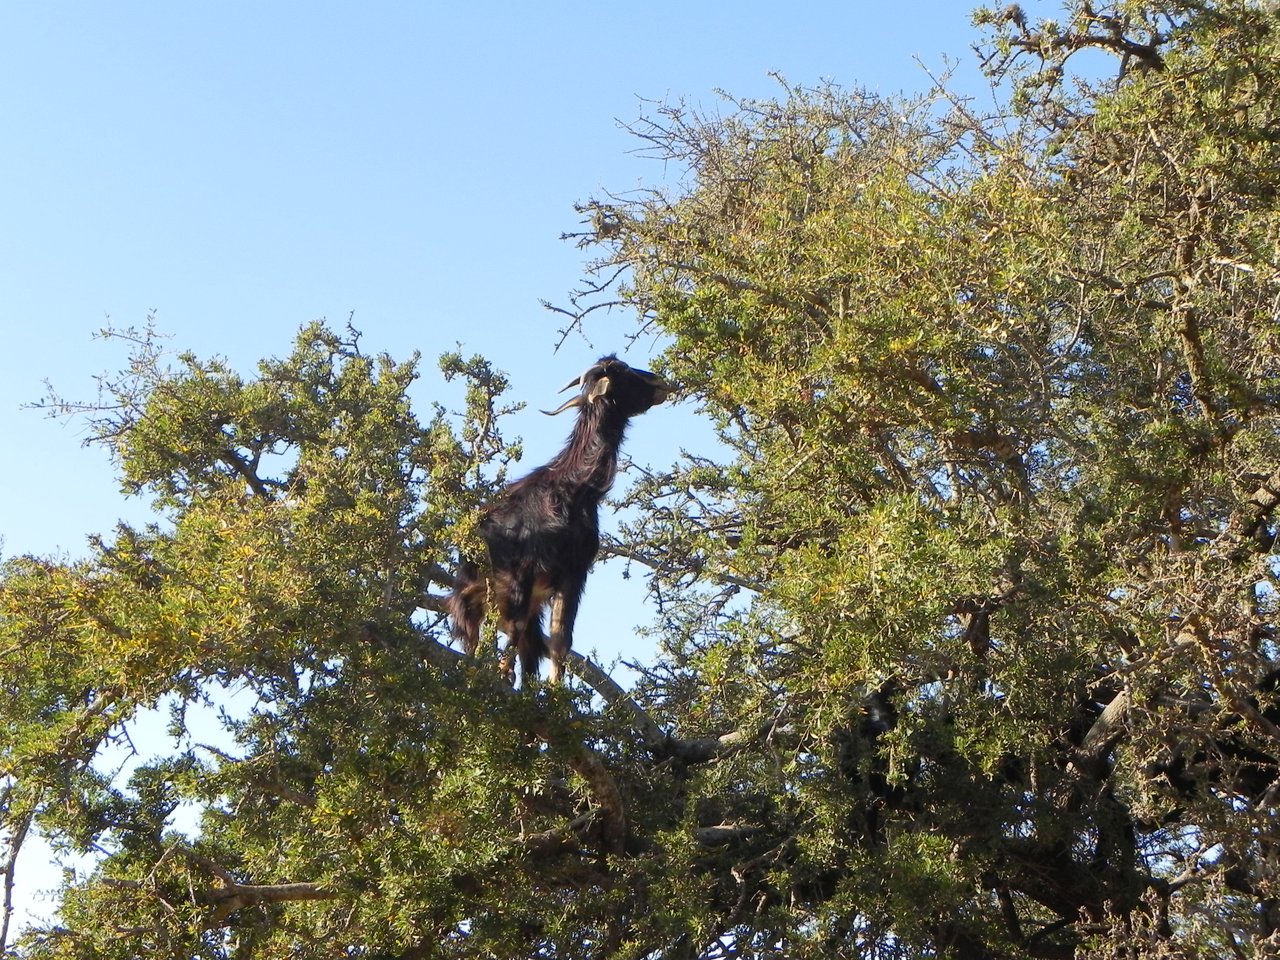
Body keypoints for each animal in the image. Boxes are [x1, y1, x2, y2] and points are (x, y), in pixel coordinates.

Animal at [448, 358, 675, 686]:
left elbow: (560, 641)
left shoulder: (573, 573)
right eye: (622, 371)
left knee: (527, 648)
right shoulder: (521, 575)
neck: (577, 489)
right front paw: (503, 674)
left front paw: (557, 691)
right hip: (476, 596)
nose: (661, 383)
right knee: (477, 636)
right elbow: (515, 632)